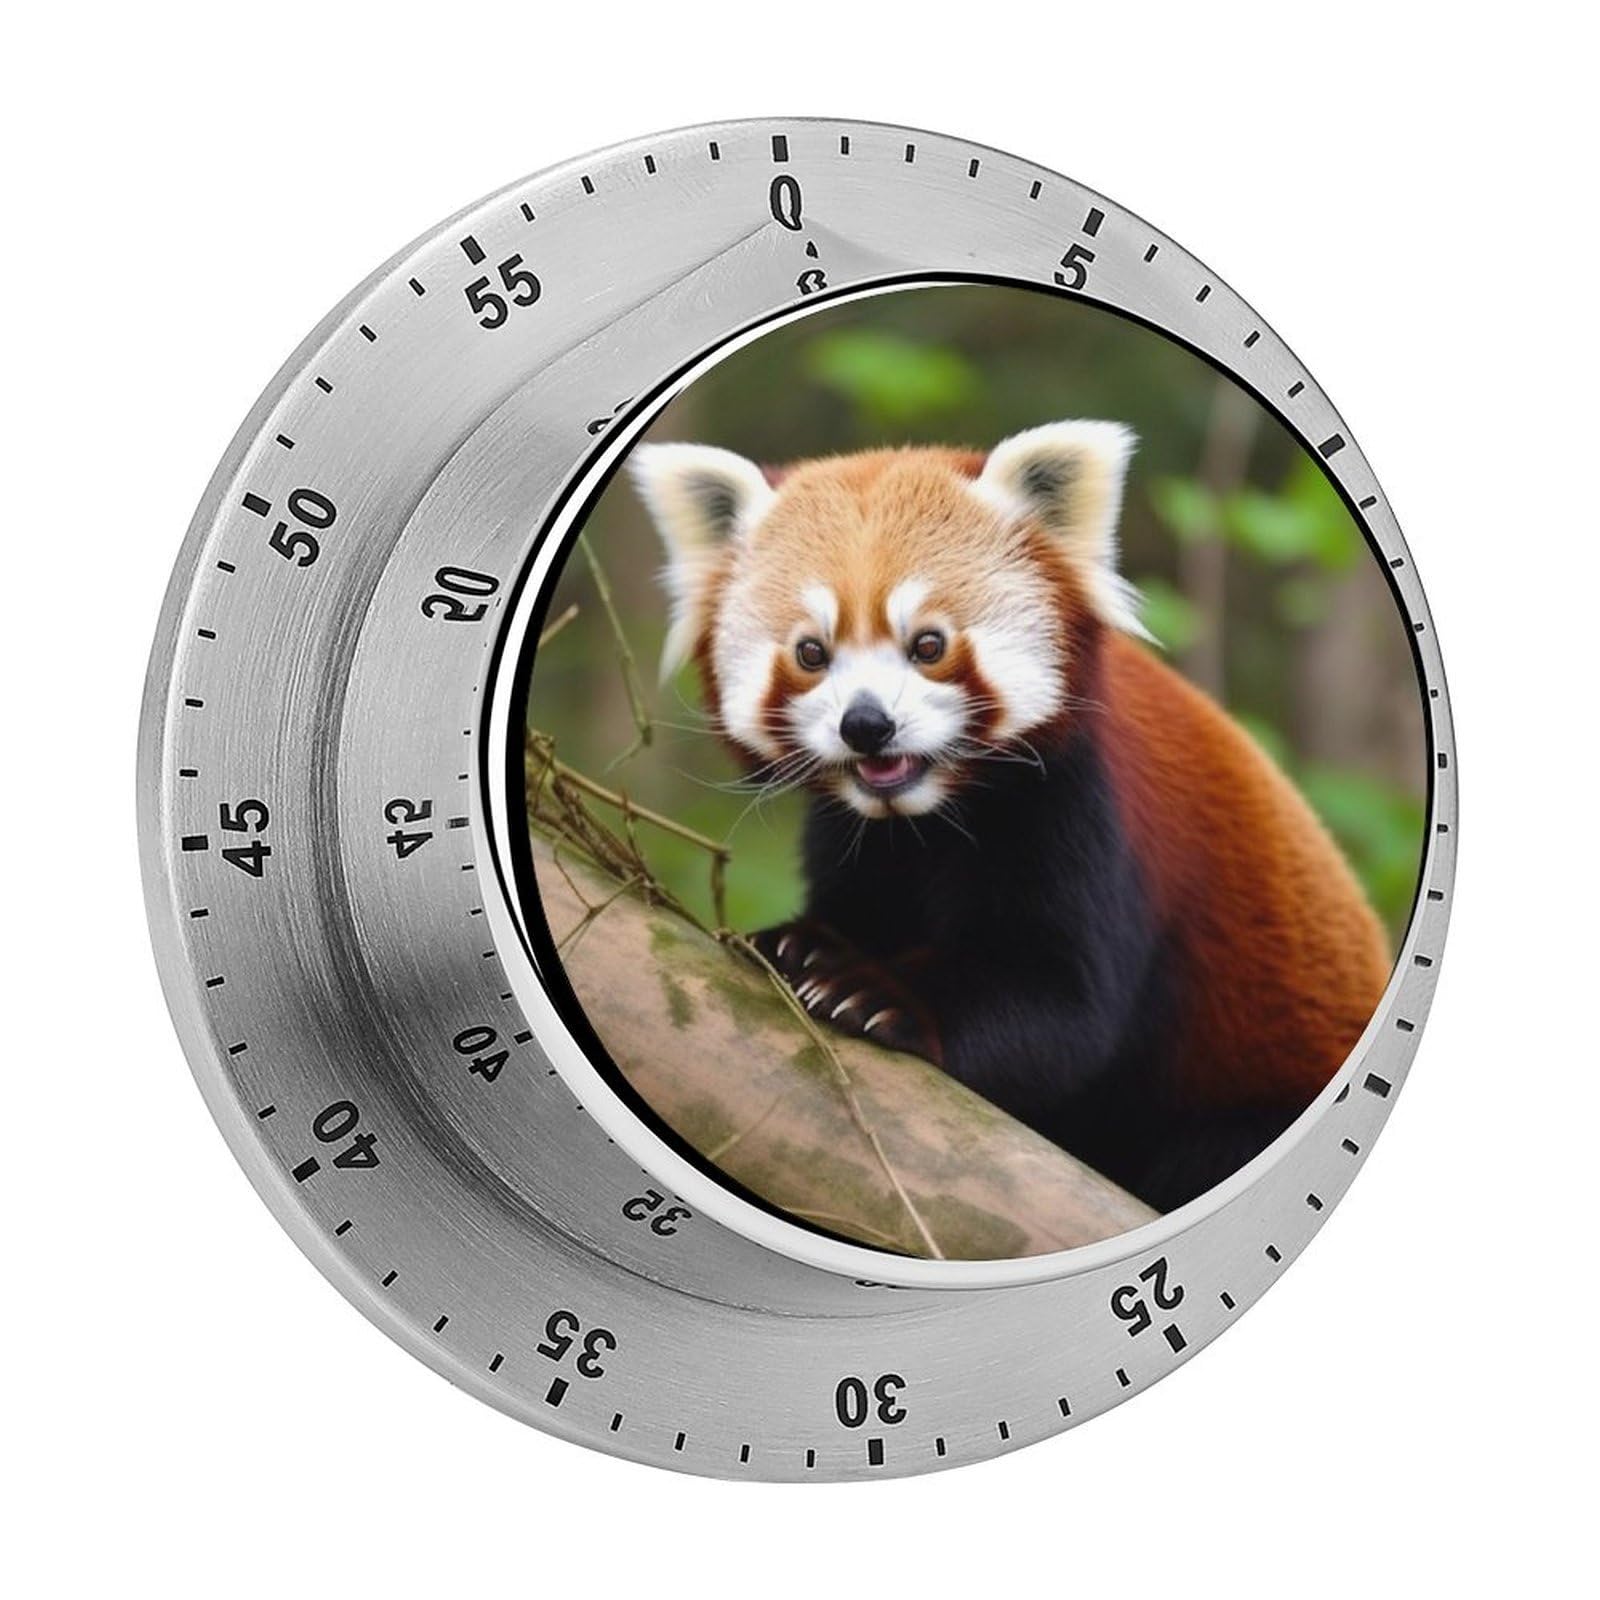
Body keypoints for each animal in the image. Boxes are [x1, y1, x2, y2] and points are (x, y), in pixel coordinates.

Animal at [629, 422, 1390, 1211]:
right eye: (811, 652)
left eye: (928, 644)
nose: (866, 726)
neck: (930, 815)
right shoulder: (857, 835)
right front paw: (806, 942)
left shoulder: (1081, 811)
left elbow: (1062, 1004)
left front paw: (873, 991)